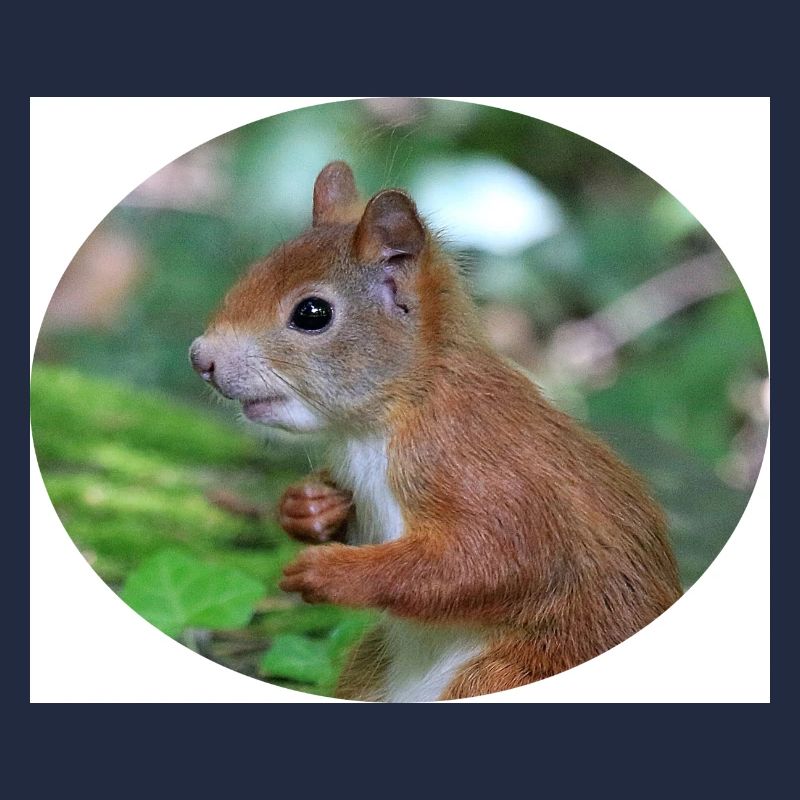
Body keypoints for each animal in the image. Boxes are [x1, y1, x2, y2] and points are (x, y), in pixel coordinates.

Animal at [190, 161, 683, 702]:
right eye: (253, 271)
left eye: (312, 313)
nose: (201, 358)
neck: (387, 421)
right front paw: (308, 508)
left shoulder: (481, 470)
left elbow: (497, 562)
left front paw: (332, 572)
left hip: (510, 672)